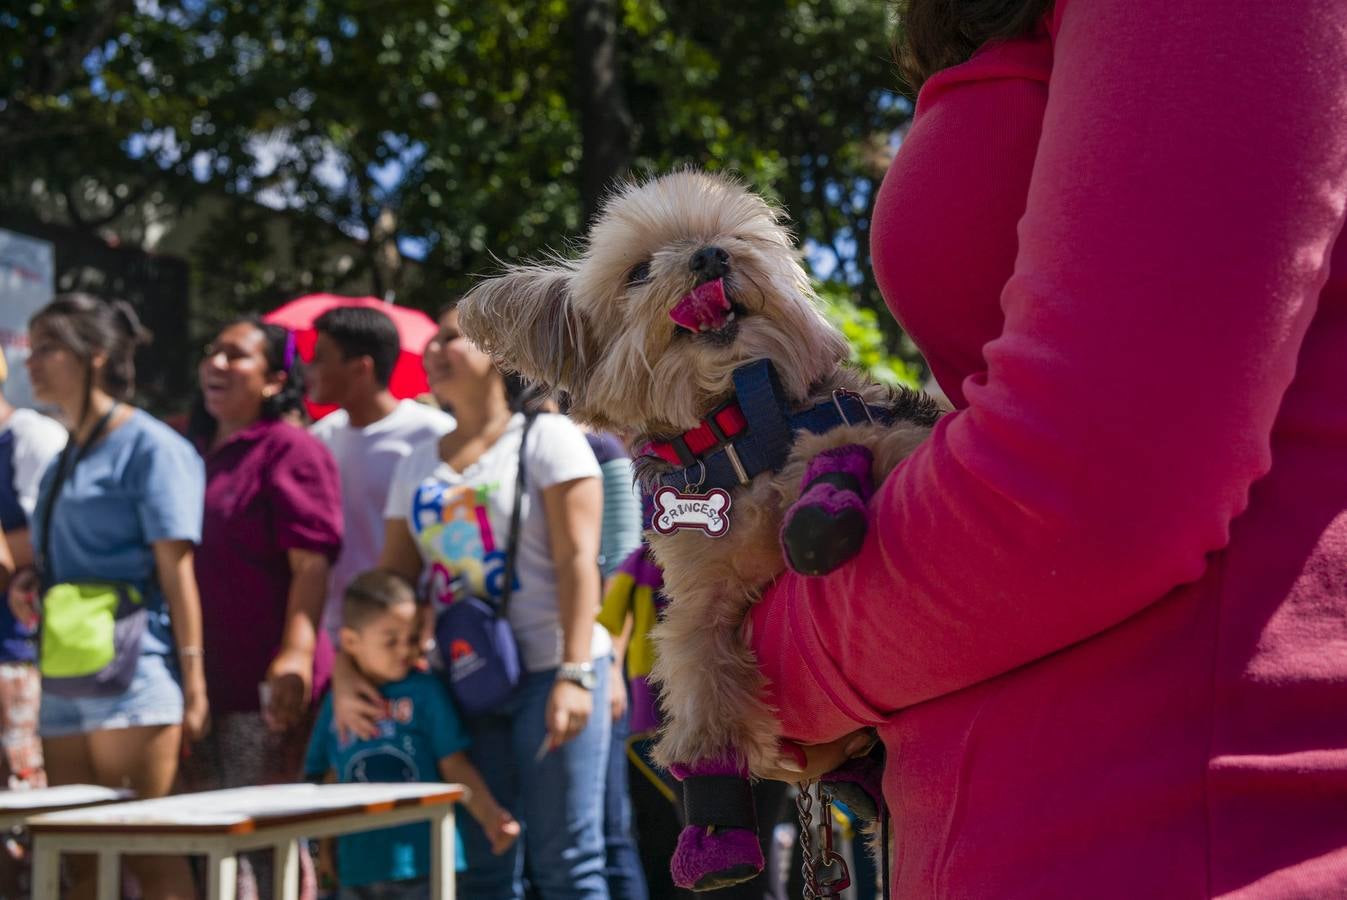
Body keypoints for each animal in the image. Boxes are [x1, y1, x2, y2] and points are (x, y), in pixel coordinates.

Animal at [457, 172, 942, 889]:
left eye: (732, 238)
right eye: (638, 271)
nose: (710, 257)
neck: (738, 427)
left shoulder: (879, 428)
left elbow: (848, 439)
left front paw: (822, 499)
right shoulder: (699, 599)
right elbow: (700, 679)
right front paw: (714, 833)